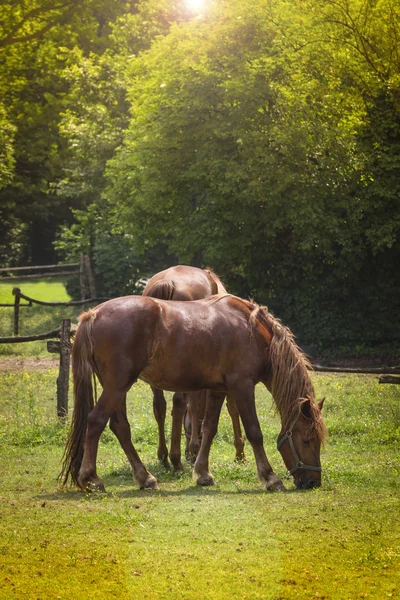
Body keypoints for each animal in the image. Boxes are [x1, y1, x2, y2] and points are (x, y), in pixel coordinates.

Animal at [60, 292, 328, 494]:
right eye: (307, 439)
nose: (313, 482)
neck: (251, 330)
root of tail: (93, 314)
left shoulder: (219, 390)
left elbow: (209, 429)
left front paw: (202, 473)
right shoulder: (242, 386)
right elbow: (255, 432)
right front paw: (271, 478)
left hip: (116, 387)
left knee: (120, 427)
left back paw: (145, 478)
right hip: (117, 386)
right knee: (96, 421)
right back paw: (91, 479)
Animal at [142, 266, 245, 468]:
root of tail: (168, 283)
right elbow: (229, 407)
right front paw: (239, 452)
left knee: (160, 406)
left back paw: (164, 456)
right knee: (180, 402)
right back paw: (176, 458)